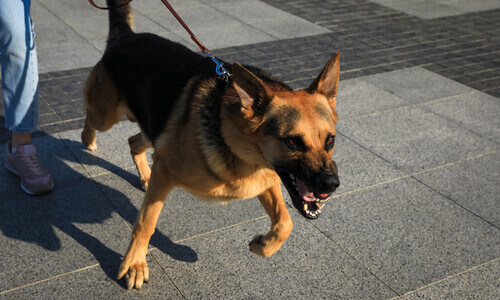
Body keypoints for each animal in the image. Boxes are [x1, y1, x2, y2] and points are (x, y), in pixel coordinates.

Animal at [83, 0, 340, 290]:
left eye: (330, 140)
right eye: (293, 141)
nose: (331, 185)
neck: (240, 147)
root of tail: (124, 36)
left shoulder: (268, 180)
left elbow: (285, 223)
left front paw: (262, 245)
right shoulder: (166, 173)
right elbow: (145, 223)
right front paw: (135, 264)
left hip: (152, 128)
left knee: (134, 141)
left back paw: (143, 175)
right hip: (107, 116)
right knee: (91, 117)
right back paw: (87, 139)